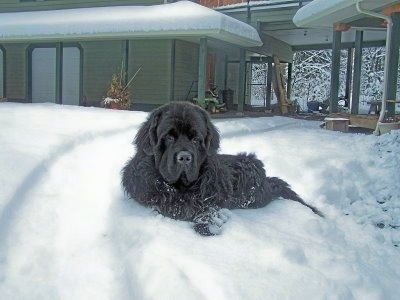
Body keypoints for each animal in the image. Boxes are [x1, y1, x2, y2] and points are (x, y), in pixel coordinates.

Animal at [122, 102, 322, 236]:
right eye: (169, 137)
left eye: (196, 139)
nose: (185, 157)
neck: (182, 186)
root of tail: (266, 178)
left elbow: (208, 209)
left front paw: (209, 223)